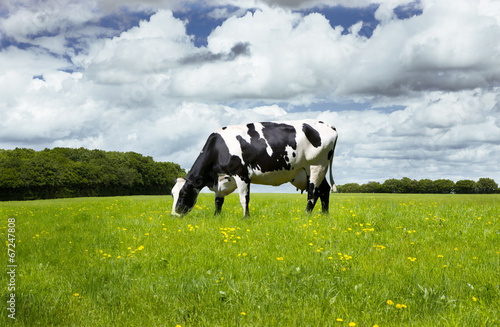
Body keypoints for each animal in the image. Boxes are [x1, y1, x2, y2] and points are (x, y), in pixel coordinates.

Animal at [172, 120, 340, 218]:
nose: (173, 215)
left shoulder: (241, 174)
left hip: (316, 166)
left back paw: (306, 215)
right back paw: (324, 215)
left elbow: (244, 198)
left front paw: (245, 217)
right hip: (311, 170)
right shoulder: (220, 178)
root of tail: (325, 124)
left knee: (313, 193)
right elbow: (218, 200)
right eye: (172, 194)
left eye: (184, 193)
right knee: (324, 190)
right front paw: (216, 217)